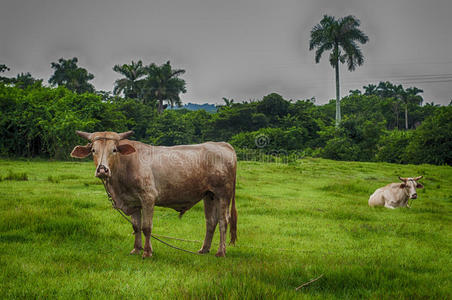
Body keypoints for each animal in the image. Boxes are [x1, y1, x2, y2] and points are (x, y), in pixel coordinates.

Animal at [69, 131, 237, 258]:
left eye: (114, 150)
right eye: (93, 150)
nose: (102, 170)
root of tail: (223, 145)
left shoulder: (148, 198)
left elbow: (146, 227)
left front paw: (147, 252)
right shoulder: (133, 202)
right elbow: (136, 226)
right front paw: (136, 249)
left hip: (223, 194)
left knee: (223, 221)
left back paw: (220, 252)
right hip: (209, 195)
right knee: (211, 221)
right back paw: (204, 249)